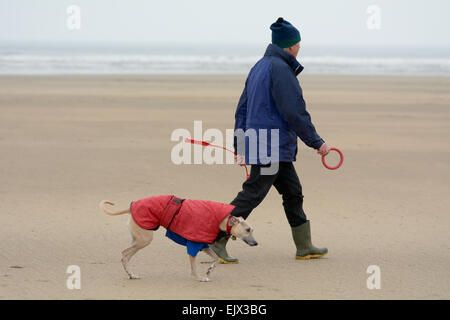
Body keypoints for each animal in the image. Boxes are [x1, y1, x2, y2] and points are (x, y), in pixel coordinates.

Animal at [100, 194, 258, 282]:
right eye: (248, 229)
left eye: (252, 230)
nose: (256, 243)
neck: (222, 219)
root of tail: (132, 206)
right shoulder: (194, 244)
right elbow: (194, 267)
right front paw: (200, 278)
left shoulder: (203, 245)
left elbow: (216, 259)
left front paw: (208, 271)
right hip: (144, 239)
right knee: (125, 254)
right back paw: (131, 274)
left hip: (137, 239)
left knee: (126, 254)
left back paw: (131, 274)